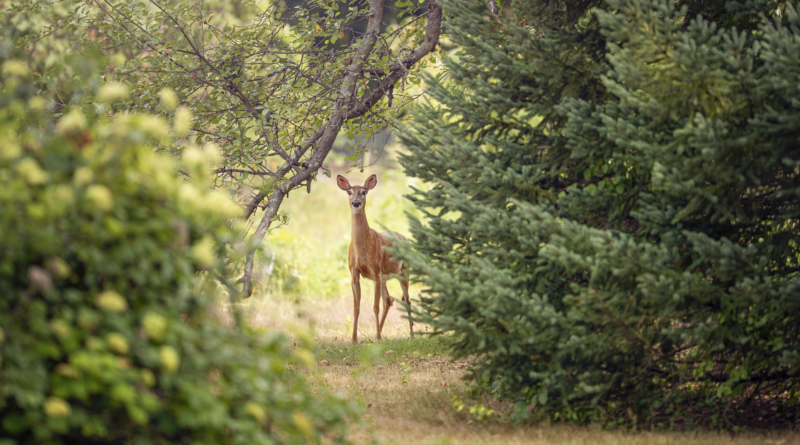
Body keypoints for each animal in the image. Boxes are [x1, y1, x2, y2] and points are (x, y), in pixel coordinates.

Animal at [336, 172, 412, 342]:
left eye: (364, 192)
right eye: (349, 192)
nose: (356, 203)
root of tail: (404, 238)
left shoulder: (376, 270)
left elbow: (375, 306)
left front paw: (376, 337)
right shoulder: (354, 272)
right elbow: (356, 307)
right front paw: (354, 339)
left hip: (403, 272)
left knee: (407, 301)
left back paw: (411, 334)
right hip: (385, 278)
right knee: (389, 300)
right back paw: (380, 333)